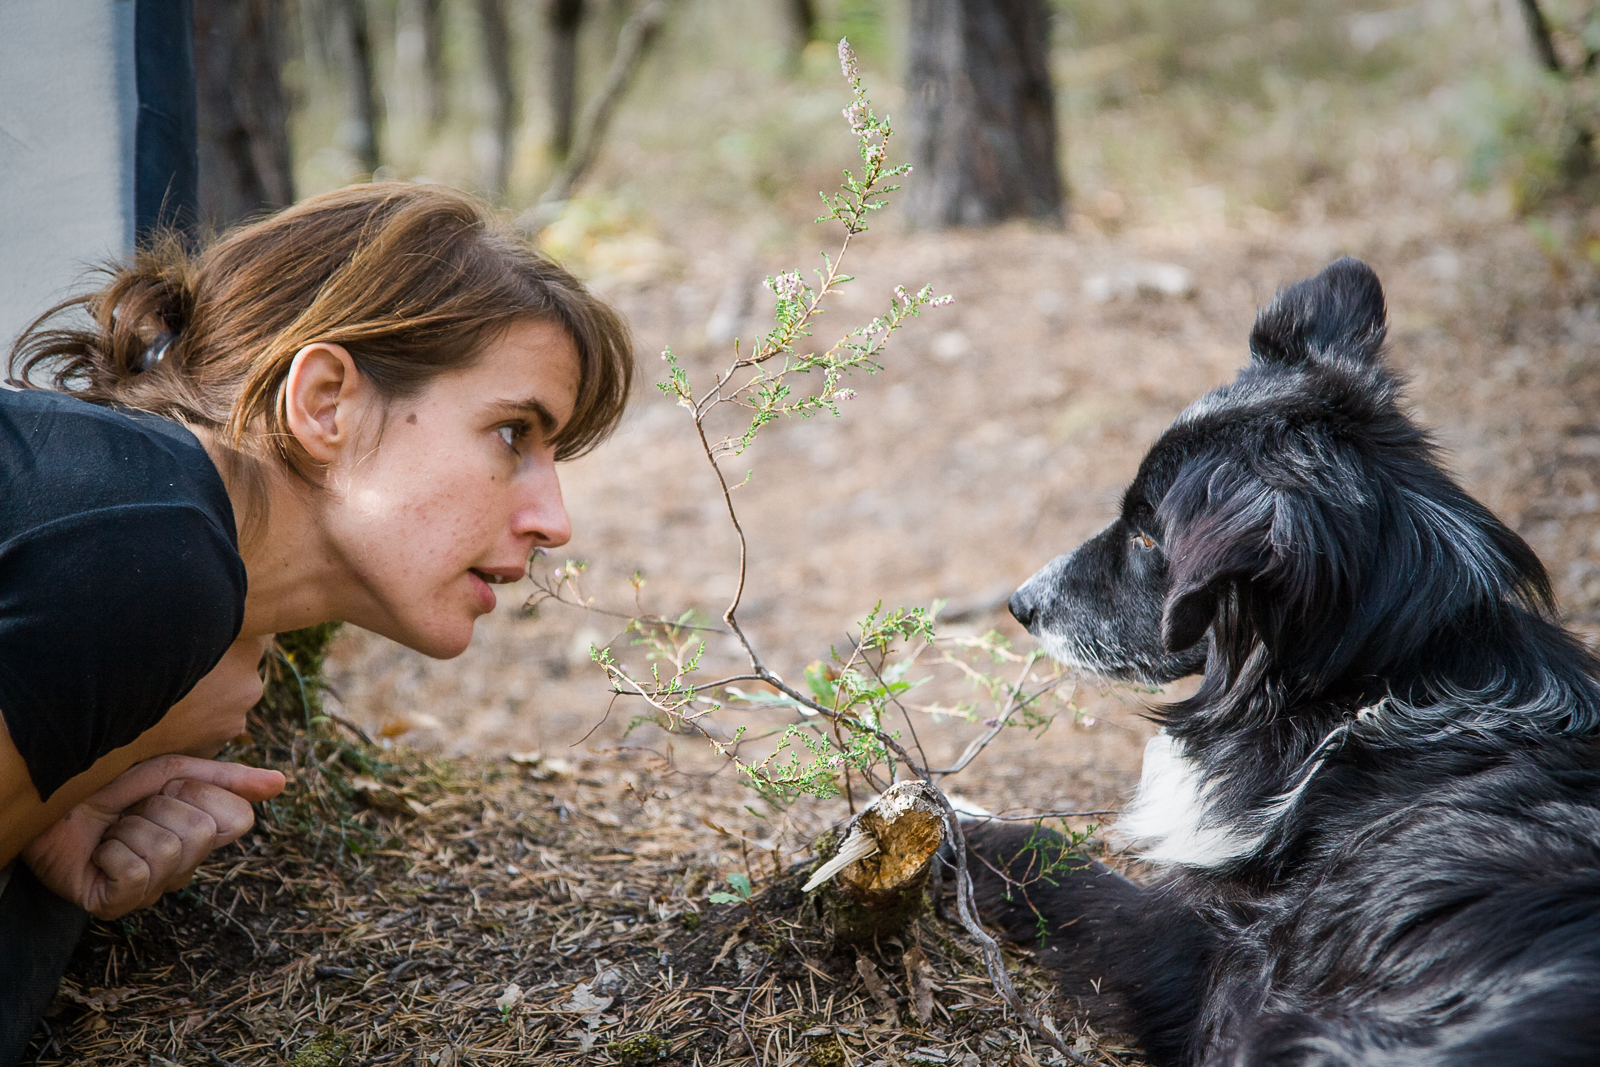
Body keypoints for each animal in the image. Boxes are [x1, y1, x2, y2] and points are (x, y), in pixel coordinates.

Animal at [972, 260, 1600, 1067]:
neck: (1372, 686)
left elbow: (1047, 856)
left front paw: (943, 820)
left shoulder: (1188, 951)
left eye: (1146, 536)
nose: (1020, 603)